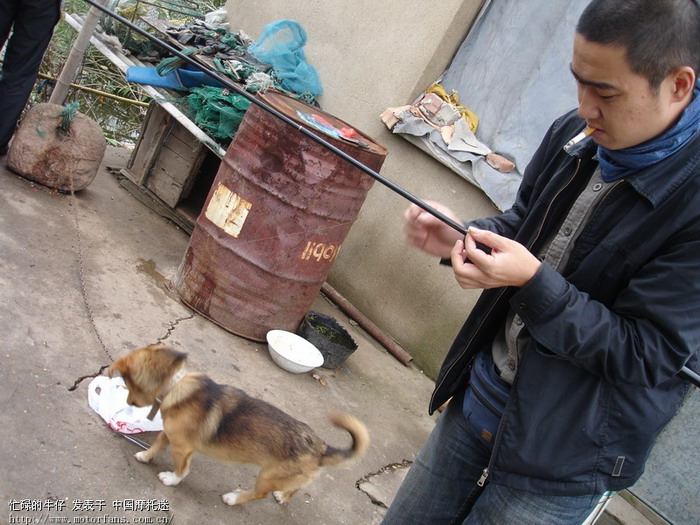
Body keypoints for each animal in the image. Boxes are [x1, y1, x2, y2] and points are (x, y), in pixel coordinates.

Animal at [108, 342, 372, 506]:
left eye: (128, 384)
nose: (129, 402)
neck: (176, 386)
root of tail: (321, 448)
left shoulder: (183, 449)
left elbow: (182, 469)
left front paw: (172, 480)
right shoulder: (170, 435)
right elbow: (157, 445)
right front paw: (145, 456)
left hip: (266, 476)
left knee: (260, 494)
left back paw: (234, 499)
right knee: (295, 488)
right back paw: (283, 497)